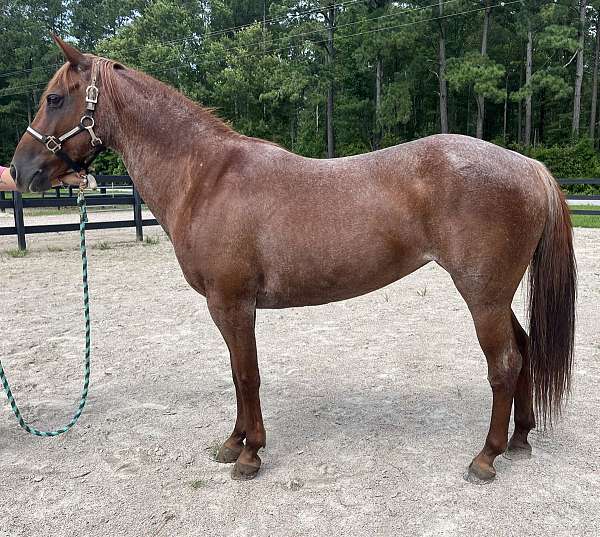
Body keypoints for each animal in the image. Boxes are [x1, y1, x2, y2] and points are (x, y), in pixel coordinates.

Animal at [11, 38, 576, 482]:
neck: (206, 177)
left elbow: (247, 375)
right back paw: (521, 438)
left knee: (504, 364)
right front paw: (232, 443)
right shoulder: (232, 308)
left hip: (482, 295)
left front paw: (250, 455)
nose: (20, 170)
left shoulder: (231, 303)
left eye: (54, 98)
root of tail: (528, 165)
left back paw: (487, 457)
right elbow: (237, 373)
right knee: (524, 350)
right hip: (494, 296)